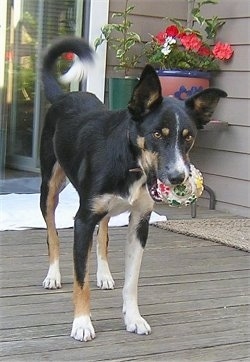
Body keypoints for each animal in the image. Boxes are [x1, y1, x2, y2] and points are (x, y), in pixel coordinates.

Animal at [39, 35, 227, 340]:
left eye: (188, 138)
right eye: (157, 134)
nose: (178, 177)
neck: (132, 165)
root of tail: (64, 97)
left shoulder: (140, 221)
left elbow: (132, 280)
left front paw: (133, 318)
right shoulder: (83, 220)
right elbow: (81, 278)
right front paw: (82, 322)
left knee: (103, 234)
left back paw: (104, 274)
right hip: (50, 188)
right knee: (52, 234)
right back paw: (53, 275)